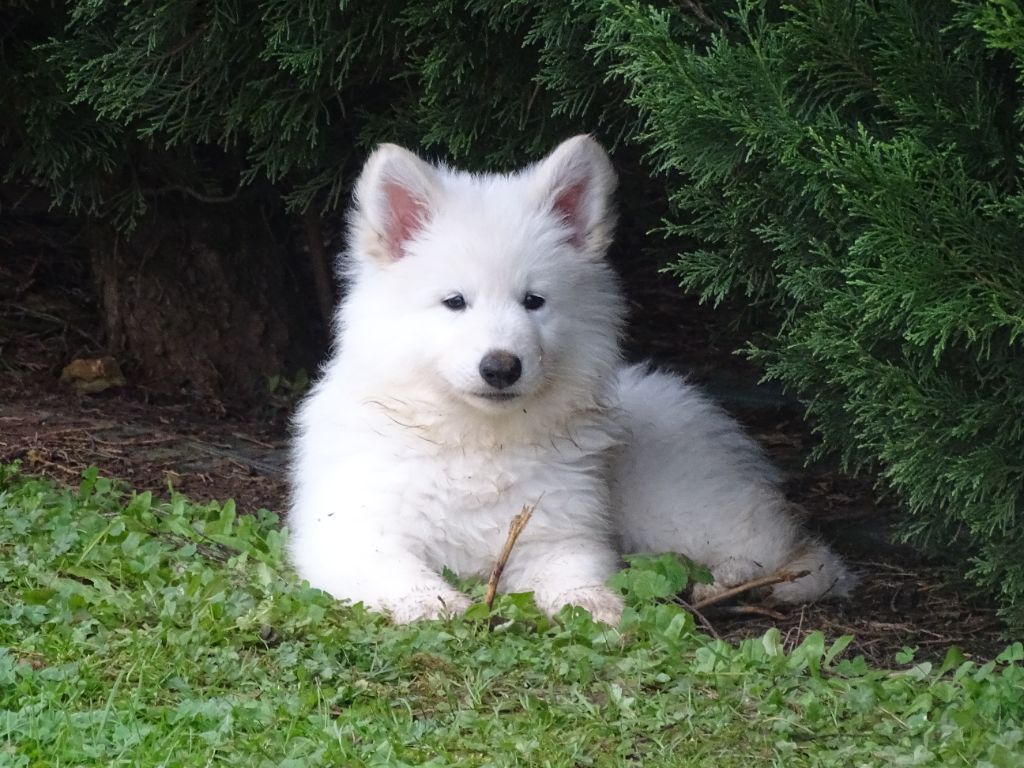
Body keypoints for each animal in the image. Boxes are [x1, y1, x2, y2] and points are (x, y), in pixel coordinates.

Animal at [288, 135, 853, 624]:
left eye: (533, 301)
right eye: (455, 302)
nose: (501, 367)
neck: (479, 440)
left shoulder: (559, 532)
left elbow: (573, 572)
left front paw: (594, 603)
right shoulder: (351, 530)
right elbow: (396, 570)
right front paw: (431, 602)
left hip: (676, 503)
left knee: (783, 549)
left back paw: (733, 581)